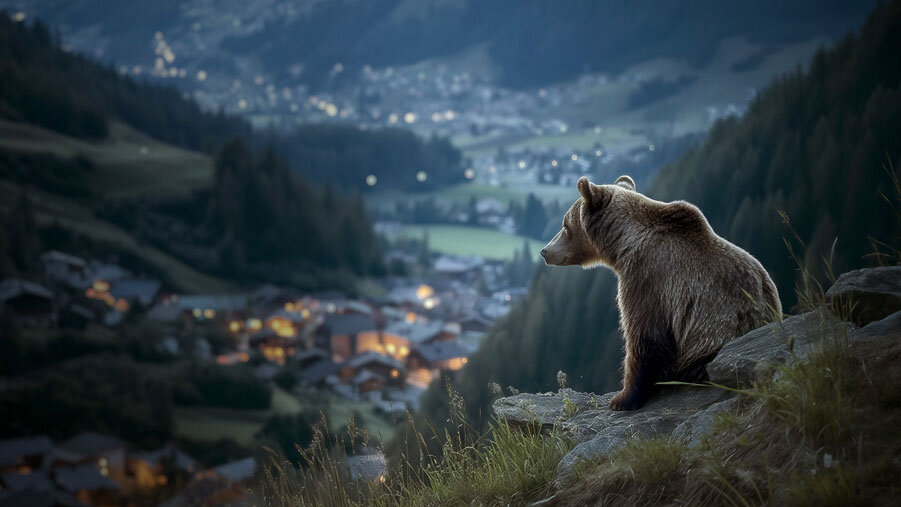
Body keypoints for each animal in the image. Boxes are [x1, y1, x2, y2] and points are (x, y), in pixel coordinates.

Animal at [540, 175, 781, 411]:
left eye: (565, 225)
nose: (545, 251)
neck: (623, 244)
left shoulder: (648, 279)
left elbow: (645, 336)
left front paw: (622, 399)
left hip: (709, 348)